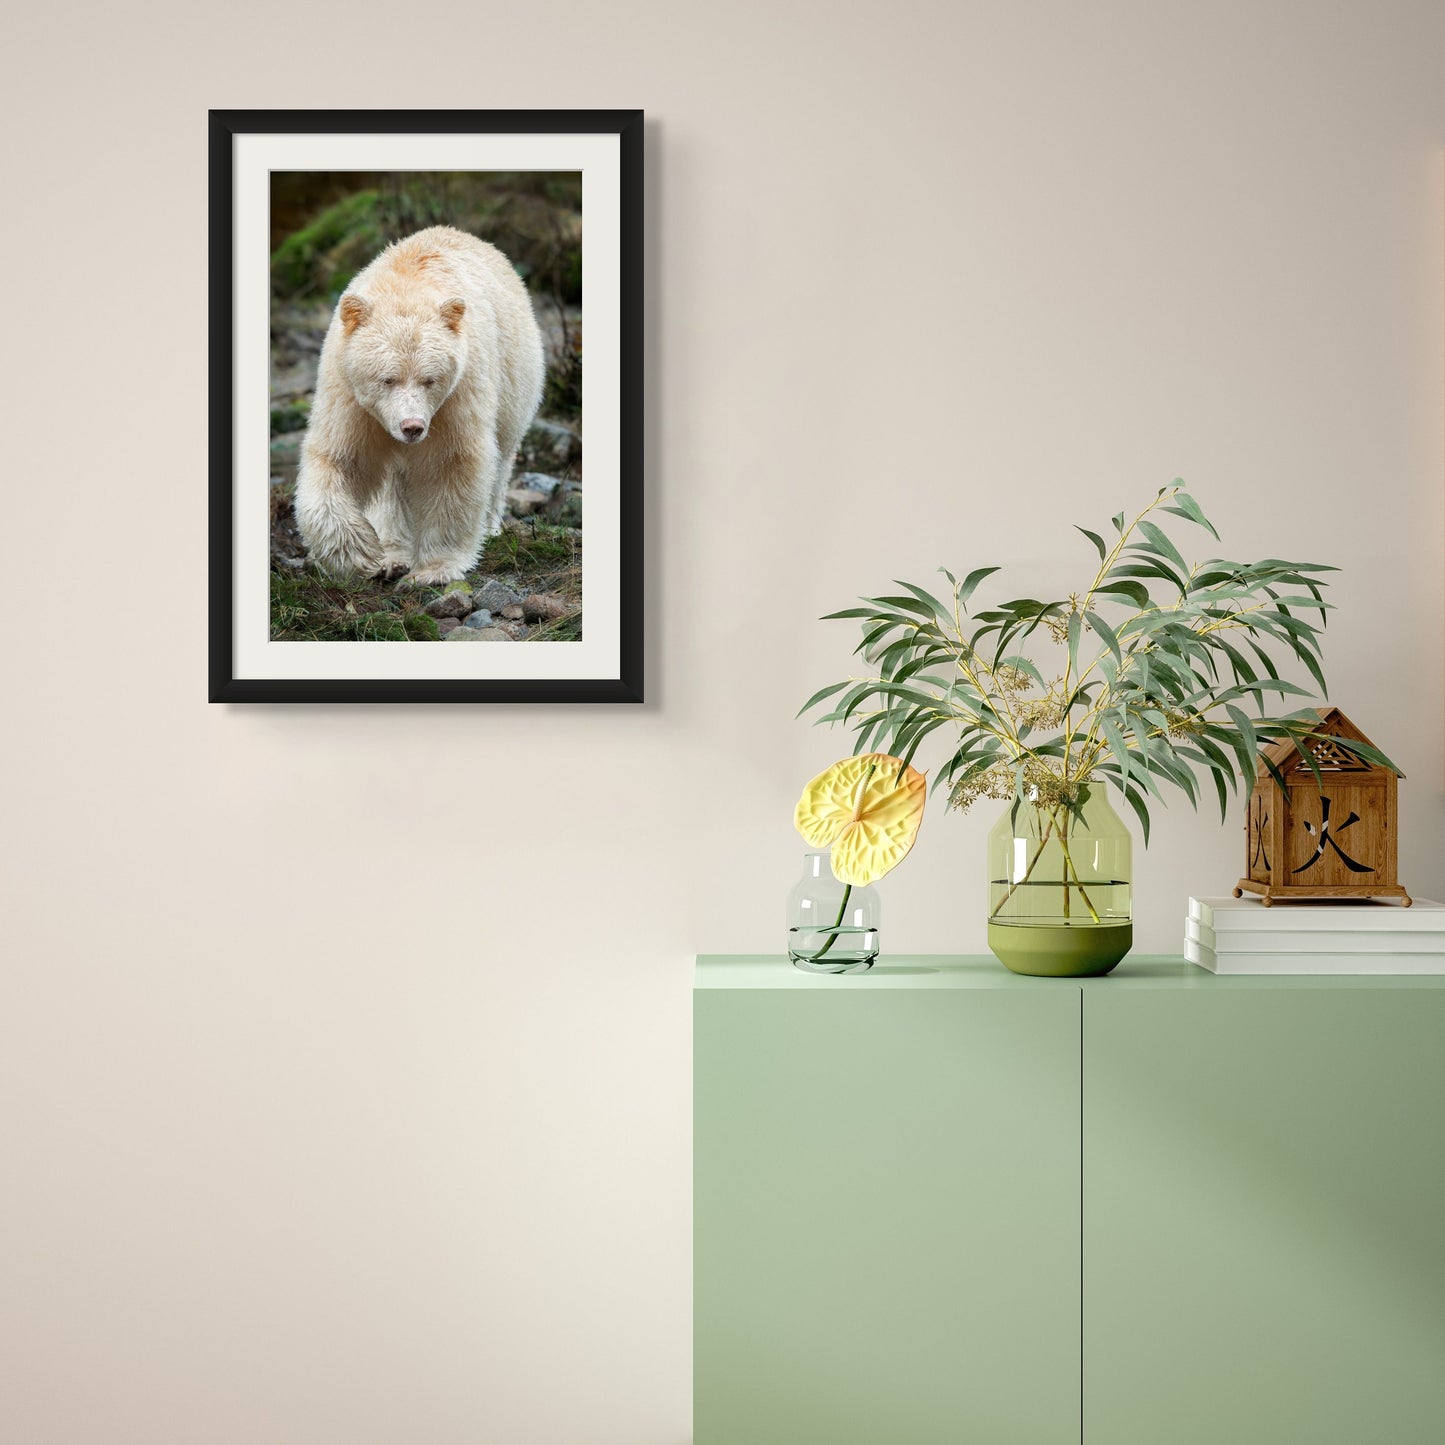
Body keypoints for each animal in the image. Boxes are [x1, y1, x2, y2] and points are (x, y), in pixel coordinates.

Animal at [293, 225, 546, 586]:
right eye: (387, 379)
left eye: (430, 379)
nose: (412, 427)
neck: (406, 285)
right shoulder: (349, 396)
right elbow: (339, 459)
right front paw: (363, 553)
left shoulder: (458, 395)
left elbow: (451, 465)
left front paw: (433, 570)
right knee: (392, 486)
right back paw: (392, 555)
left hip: (515, 383)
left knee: (501, 461)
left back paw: (489, 528)